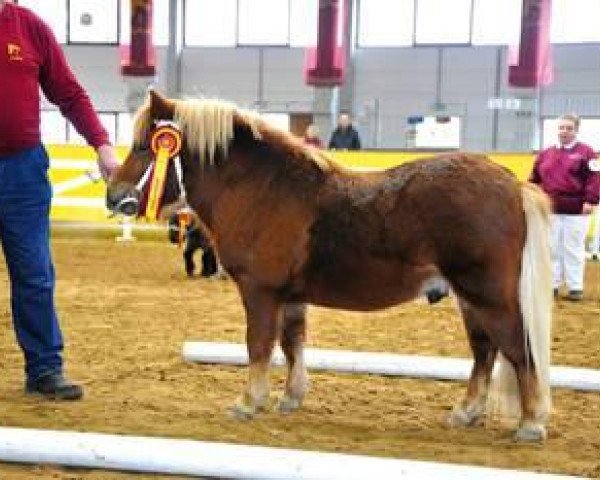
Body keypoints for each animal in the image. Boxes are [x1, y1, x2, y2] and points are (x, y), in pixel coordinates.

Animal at [108, 92, 552, 440]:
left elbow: (259, 345)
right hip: (469, 298)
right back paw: (467, 412)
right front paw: (290, 398)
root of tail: (513, 185)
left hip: (490, 297)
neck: (260, 188)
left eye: (145, 146)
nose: (114, 197)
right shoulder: (290, 297)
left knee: (518, 349)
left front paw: (248, 402)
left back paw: (530, 423)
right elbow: (292, 344)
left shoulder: (259, 291)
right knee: (485, 351)